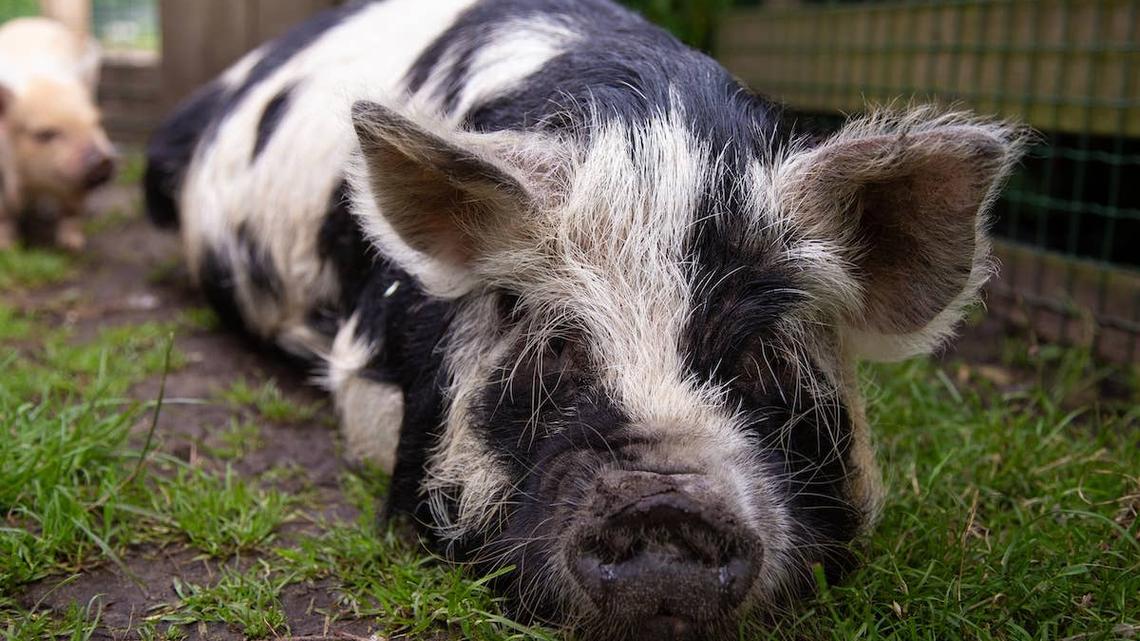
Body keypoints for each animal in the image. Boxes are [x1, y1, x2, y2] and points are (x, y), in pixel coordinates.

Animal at [0, 17, 115, 250]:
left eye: (97, 122)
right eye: (44, 134)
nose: (102, 160)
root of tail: (32, 21)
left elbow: (73, 206)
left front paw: (73, 246)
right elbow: (4, 212)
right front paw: (8, 247)